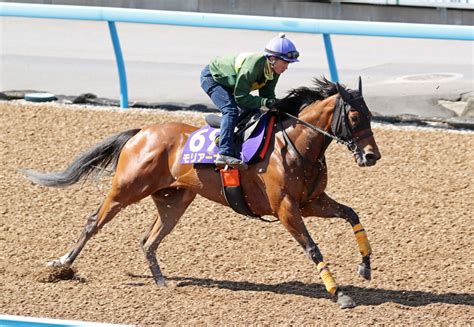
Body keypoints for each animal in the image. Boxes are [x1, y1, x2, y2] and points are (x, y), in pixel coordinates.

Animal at [24, 77, 384, 310]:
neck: (295, 145)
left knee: (148, 240)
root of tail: (142, 132)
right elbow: (312, 248)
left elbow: (352, 214)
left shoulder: (311, 202)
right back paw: (61, 265)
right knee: (92, 222)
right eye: (354, 116)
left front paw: (365, 266)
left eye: (370, 115)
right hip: (126, 189)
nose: (371, 157)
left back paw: (161, 282)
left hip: (174, 200)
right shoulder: (285, 208)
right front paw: (339, 294)